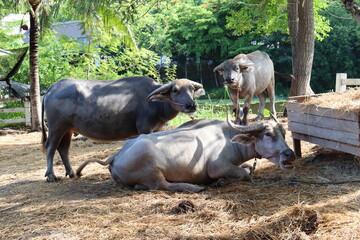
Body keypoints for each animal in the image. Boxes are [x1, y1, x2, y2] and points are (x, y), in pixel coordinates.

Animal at [41, 76, 204, 181]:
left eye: (191, 89)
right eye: (175, 90)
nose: (191, 106)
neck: (155, 104)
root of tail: (53, 87)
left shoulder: (156, 130)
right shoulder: (144, 128)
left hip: (68, 129)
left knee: (63, 149)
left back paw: (71, 172)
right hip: (56, 127)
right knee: (50, 147)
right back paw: (50, 175)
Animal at [76, 115, 296, 192]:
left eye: (284, 133)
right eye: (268, 134)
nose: (289, 154)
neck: (228, 139)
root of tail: (116, 155)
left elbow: (248, 167)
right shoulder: (217, 167)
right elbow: (244, 172)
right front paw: (220, 181)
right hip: (152, 167)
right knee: (162, 185)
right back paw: (195, 187)